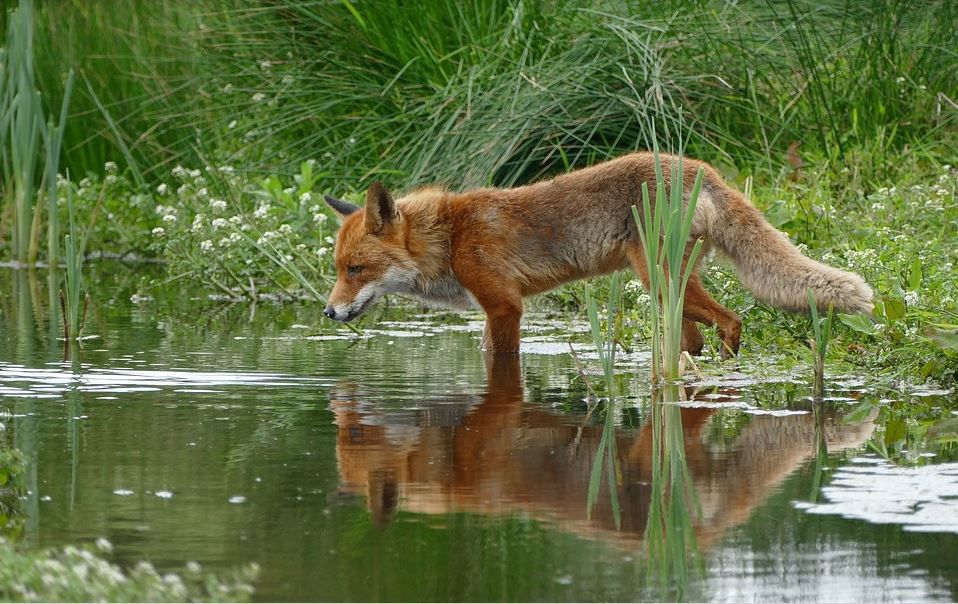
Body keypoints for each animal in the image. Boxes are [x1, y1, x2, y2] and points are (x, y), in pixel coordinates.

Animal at [324, 153, 876, 356]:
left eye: (356, 269)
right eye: (338, 270)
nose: (328, 312)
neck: (450, 237)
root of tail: (700, 167)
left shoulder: (505, 307)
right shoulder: (494, 310)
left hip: (659, 280)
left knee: (733, 320)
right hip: (671, 291)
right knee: (696, 338)